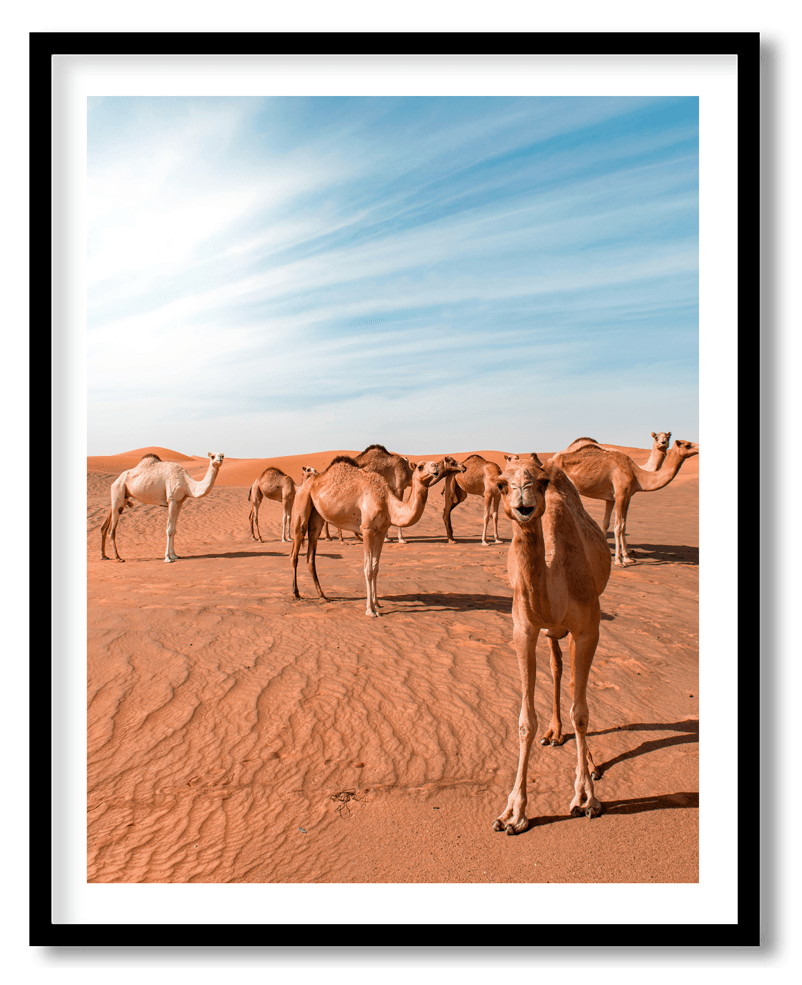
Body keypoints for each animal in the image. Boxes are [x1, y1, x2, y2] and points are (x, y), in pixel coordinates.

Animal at [290, 457, 462, 617]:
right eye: (420, 467)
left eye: (435, 464)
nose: (435, 467)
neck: (388, 503)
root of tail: (305, 484)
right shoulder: (367, 529)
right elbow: (367, 569)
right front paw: (370, 610)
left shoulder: (380, 532)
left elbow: (375, 568)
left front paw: (377, 603)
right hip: (301, 505)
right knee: (295, 551)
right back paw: (296, 594)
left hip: (317, 517)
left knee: (311, 555)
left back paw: (322, 596)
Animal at [489, 456, 611, 835]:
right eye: (502, 484)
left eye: (541, 482)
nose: (523, 501)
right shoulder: (524, 629)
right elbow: (525, 721)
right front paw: (513, 813)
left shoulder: (588, 628)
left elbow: (582, 712)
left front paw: (585, 798)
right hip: (550, 632)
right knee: (557, 668)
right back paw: (555, 733)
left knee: (572, 687)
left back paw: (590, 764)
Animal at [550, 438, 699, 566]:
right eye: (687, 444)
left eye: (667, 437)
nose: (699, 446)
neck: (637, 474)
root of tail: (550, 460)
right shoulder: (620, 495)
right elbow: (618, 527)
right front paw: (618, 560)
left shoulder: (622, 497)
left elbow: (620, 525)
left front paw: (626, 557)